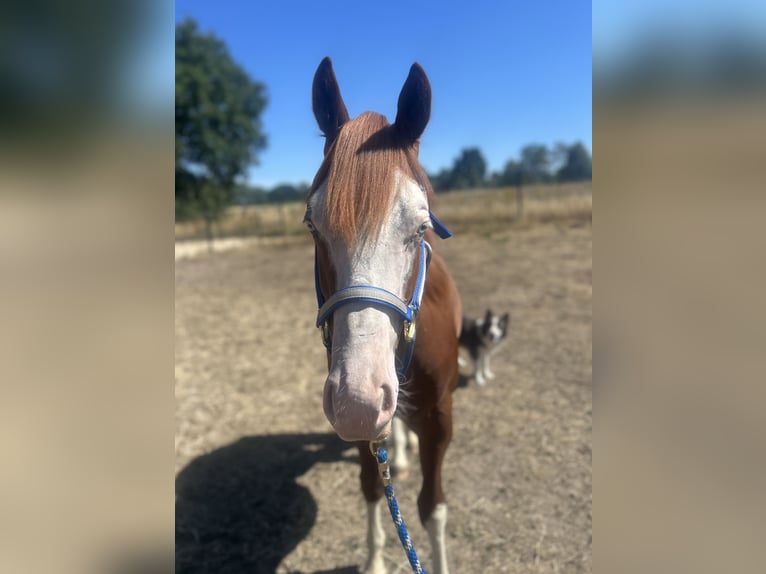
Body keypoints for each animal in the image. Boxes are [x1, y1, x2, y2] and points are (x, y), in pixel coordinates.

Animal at [305, 57, 462, 574]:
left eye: (421, 226)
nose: (359, 398)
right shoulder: (358, 424)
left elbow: (432, 507)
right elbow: (374, 488)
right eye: (312, 225)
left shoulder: (440, 417)